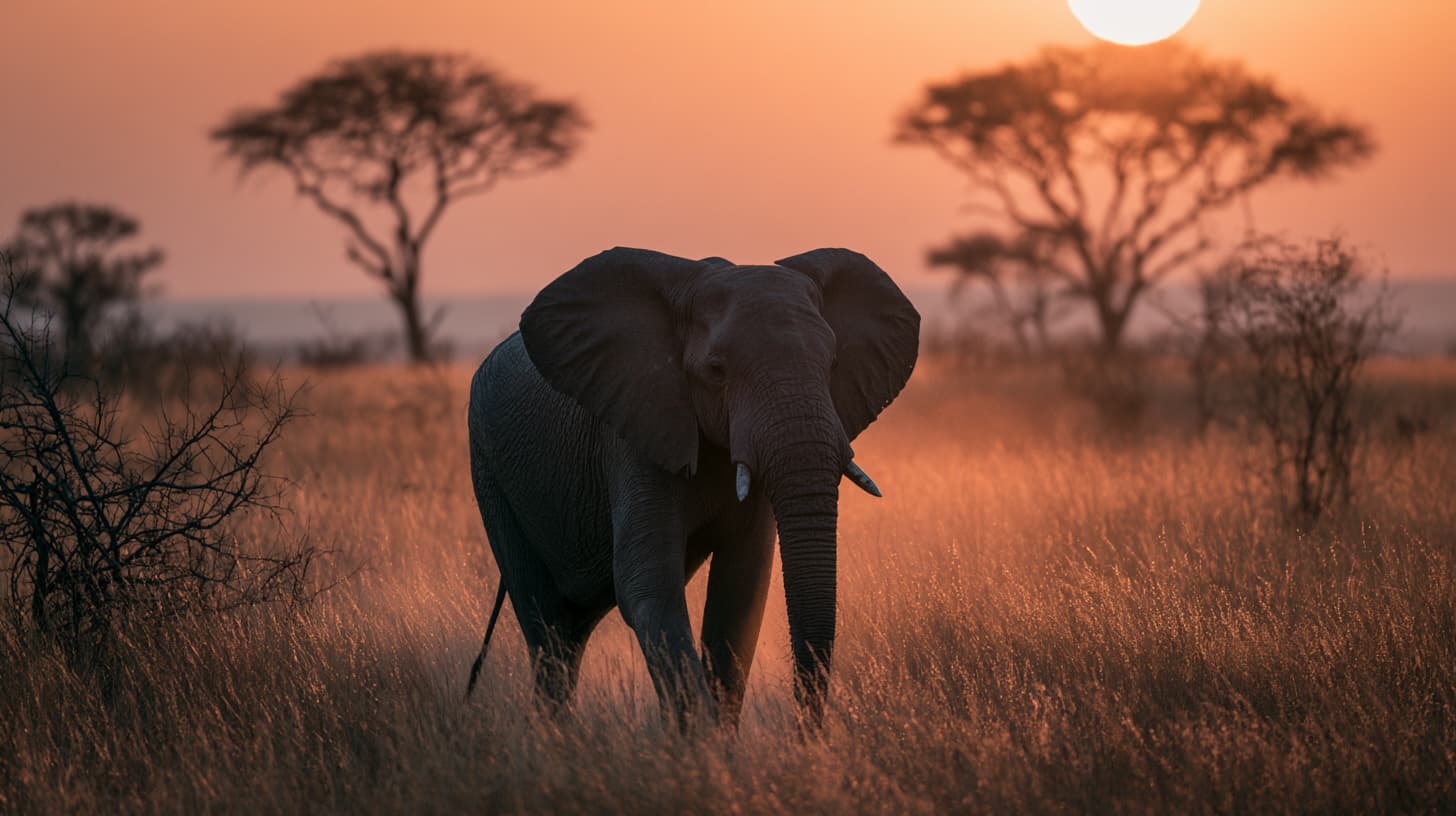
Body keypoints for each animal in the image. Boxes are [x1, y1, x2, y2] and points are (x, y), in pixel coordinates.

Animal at [465, 246, 919, 727]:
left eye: (832, 364)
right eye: (716, 371)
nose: (805, 735)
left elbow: (741, 591)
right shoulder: (636, 431)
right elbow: (648, 588)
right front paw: (702, 742)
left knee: (569, 633)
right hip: (490, 472)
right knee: (546, 626)